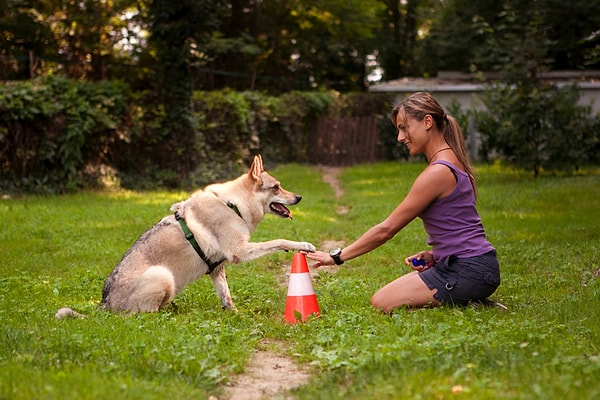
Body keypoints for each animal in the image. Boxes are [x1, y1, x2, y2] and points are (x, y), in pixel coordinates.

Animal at [98, 155, 316, 314]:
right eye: (276, 187)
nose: (299, 197)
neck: (233, 205)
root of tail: (103, 304)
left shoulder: (217, 268)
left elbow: (226, 296)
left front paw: (235, 314)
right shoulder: (240, 251)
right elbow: (279, 241)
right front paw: (303, 245)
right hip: (164, 277)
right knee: (145, 315)